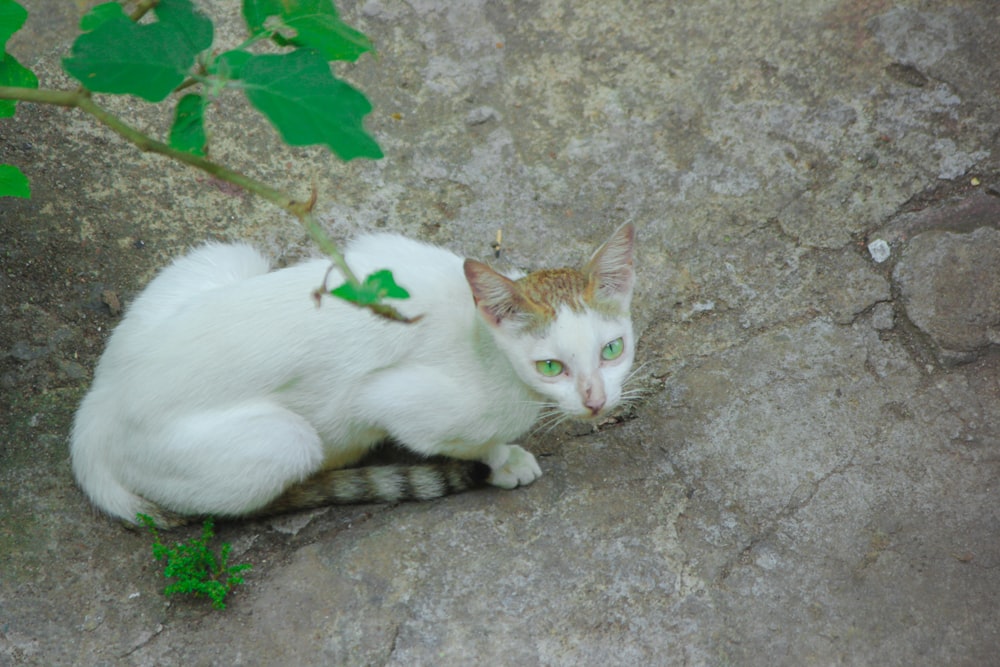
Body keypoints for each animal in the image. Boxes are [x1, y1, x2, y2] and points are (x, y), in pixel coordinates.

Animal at [68, 226, 632, 528]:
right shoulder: (388, 399)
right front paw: (502, 458)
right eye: (551, 366)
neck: (483, 343)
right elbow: (464, 440)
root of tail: (96, 411)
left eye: (612, 350)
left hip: (228, 255)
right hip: (286, 441)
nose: (595, 401)